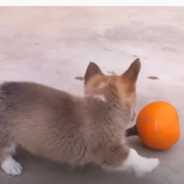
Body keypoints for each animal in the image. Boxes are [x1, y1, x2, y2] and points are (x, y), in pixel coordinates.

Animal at [0, 58, 159, 176]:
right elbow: (133, 154)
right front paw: (152, 163)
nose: (133, 117)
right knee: (3, 150)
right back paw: (10, 165)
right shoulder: (108, 150)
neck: (105, 102)